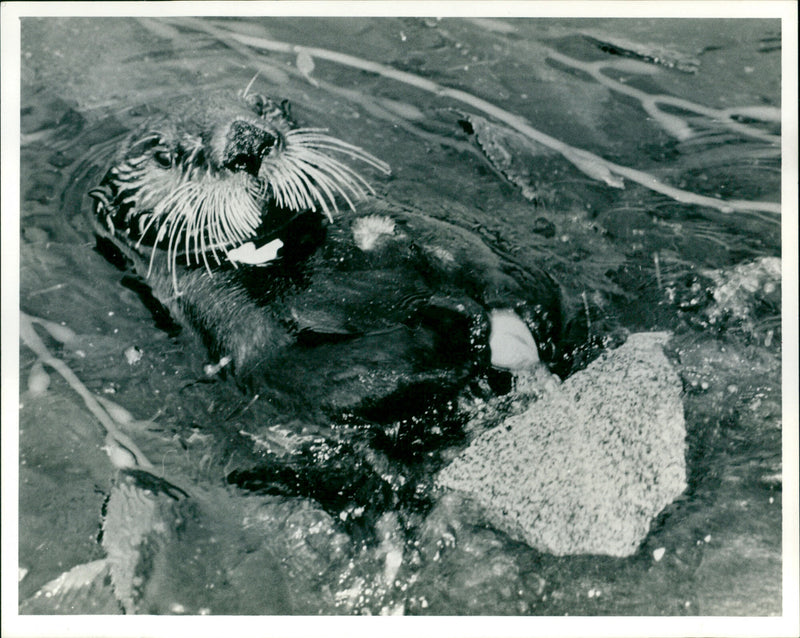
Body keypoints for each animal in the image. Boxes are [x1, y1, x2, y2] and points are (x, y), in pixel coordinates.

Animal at [89, 90, 563, 414]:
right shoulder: (220, 311)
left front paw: (519, 294)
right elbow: (298, 370)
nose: (248, 141)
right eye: (165, 156)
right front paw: (449, 327)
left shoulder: (374, 214)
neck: (282, 251)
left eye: (259, 108)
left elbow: (456, 242)